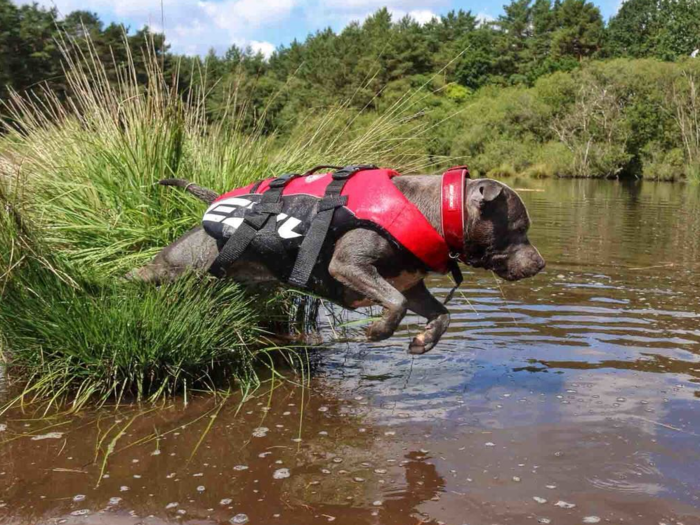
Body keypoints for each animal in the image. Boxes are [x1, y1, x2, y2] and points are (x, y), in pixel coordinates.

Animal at [131, 170, 548, 354]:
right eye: (520, 228)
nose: (542, 263)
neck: (436, 212)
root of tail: (216, 200)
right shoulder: (350, 266)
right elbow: (394, 303)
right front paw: (378, 331)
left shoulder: (410, 282)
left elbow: (441, 314)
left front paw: (423, 341)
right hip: (183, 262)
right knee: (144, 273)